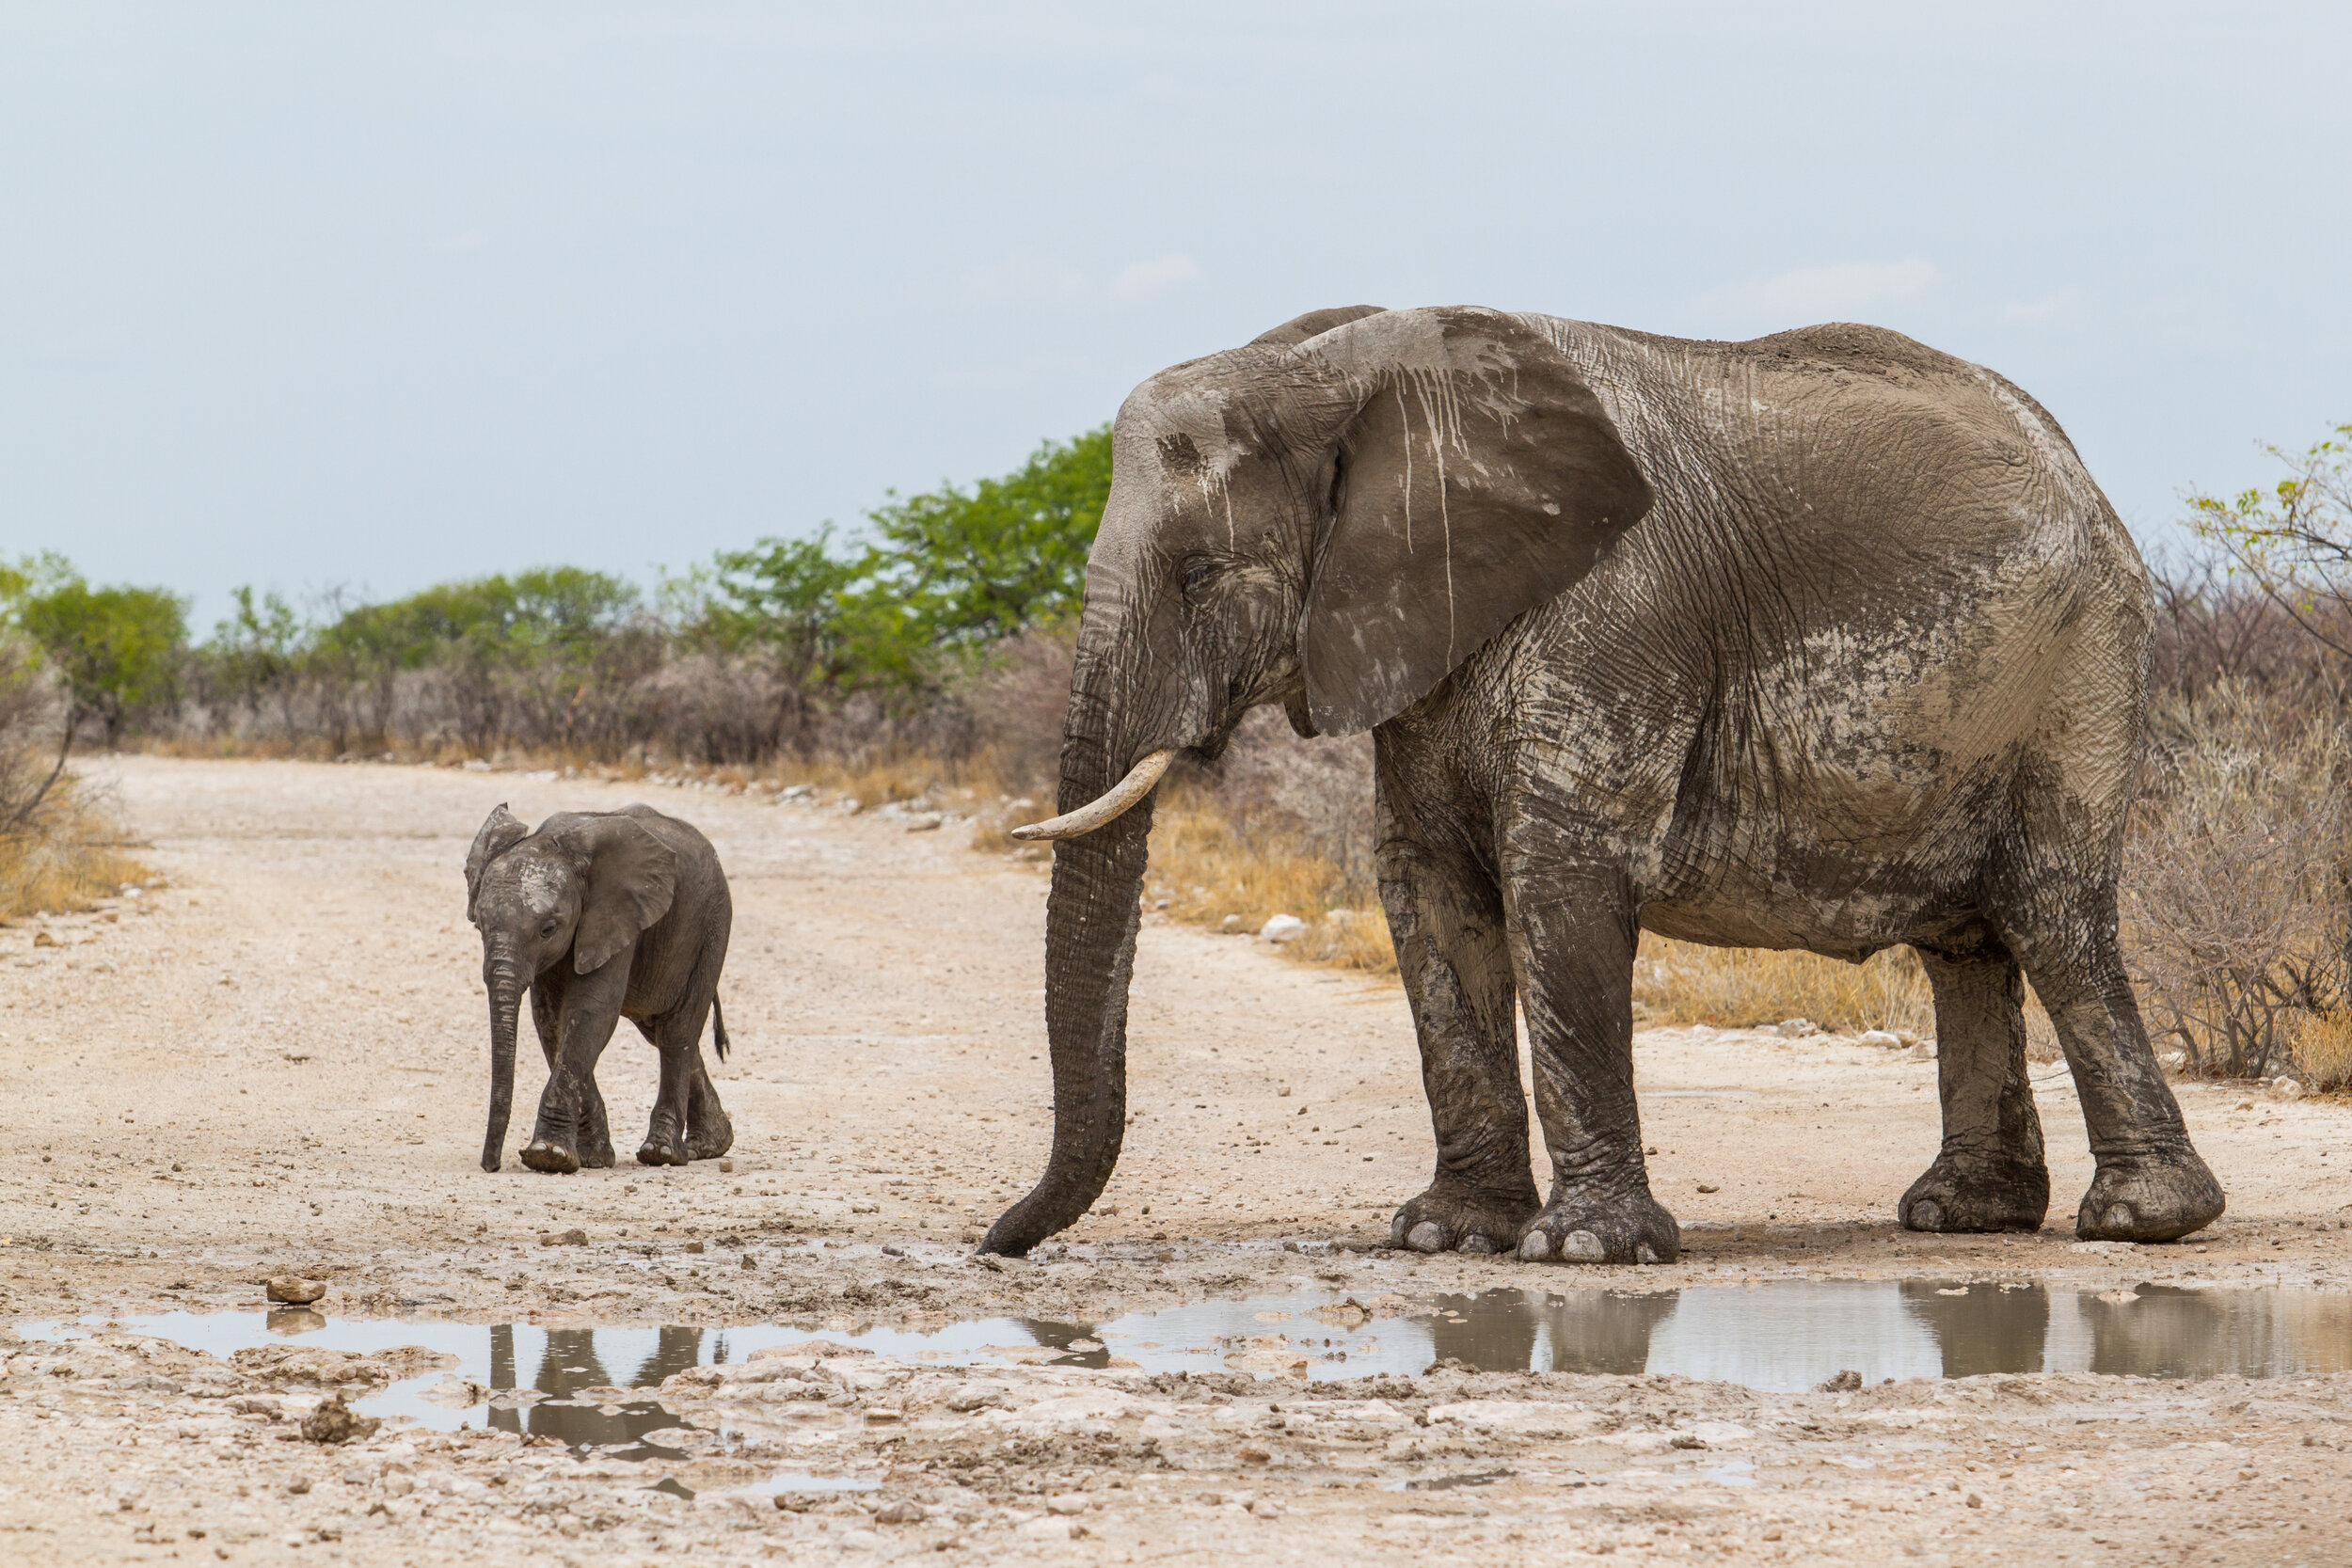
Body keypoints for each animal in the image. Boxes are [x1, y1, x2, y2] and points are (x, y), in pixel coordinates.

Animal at [461, 803, 734, 1170]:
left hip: (711, 926)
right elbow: (553, 1021)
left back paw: (662, 1153)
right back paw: (711, 1145)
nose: (491, 1165)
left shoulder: (616, 916)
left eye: (548, 929)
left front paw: (548, 1156)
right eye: (479, 926)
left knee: (677, 1032)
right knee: (661, 1031)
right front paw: (592, 1158)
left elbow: (591, 1012)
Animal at [983, 303, 2230, 1259]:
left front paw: (1585, 1248)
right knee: (1966, 945)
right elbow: (1426, 888)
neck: (1344, 375)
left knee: (2052, 919)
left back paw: (2138, 1220)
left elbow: (1560, 876)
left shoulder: (1618, 610)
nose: (996, 1242)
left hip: (2076, 666)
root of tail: (2078, 471)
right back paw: (1960, 1216)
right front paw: (1444, 1236)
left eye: (1199, 573)